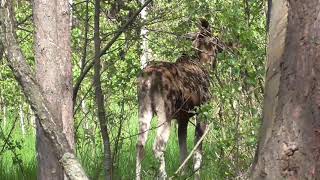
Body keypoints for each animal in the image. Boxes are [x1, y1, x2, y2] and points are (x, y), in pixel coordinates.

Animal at [135, 19, 222, 179]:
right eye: (215, 37)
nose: (221, 47)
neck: (204, 63)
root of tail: (148, 80)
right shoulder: (202, 112)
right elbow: (197, 148)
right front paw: (196, 173)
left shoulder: (183, 118)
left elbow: (183, 149)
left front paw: (183, 173)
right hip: (165, 113)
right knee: (158, 147)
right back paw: (164, 175)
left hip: (144, 110)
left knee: (140, 144)